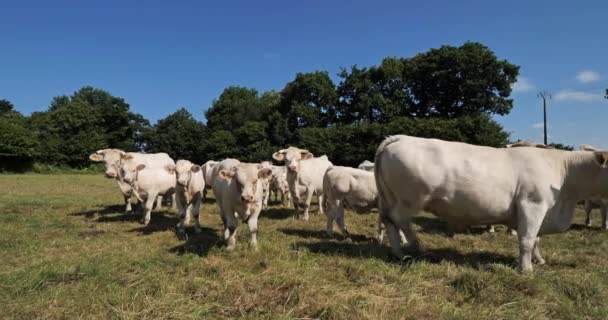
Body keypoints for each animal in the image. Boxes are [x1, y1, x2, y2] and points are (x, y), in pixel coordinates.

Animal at [376, 135, 608, 272]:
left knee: (390, 222)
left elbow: (536, 240)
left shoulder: (543, 211)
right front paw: (526, 270)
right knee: (398, 219)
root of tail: (400, 138)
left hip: (391, 197)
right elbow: (527, 240)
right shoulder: (532, 204)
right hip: (411, 198)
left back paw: (399, 254)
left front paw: (538, 260)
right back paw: (418, 246)